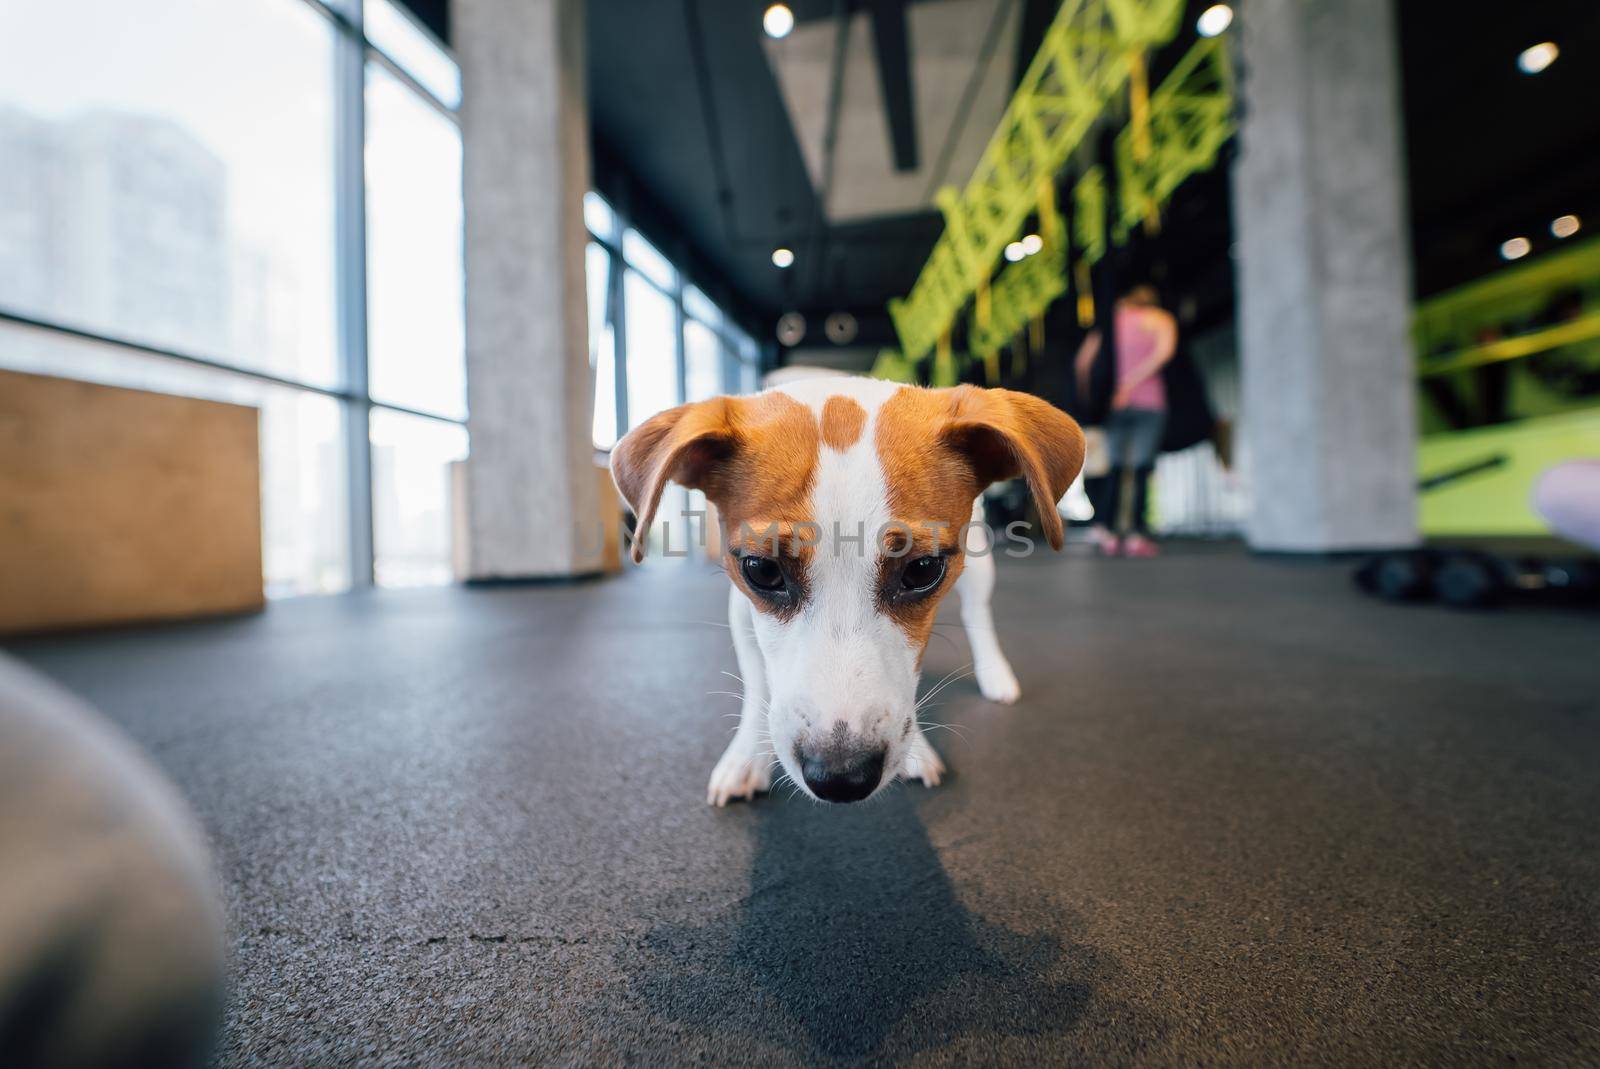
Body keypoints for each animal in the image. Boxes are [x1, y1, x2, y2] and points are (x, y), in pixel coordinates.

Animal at [611, 374, 1088, 800]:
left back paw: (995, 673)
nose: (841, 777)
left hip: (979, 561)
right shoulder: (742, 608)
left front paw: (916, 748)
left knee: (977, 612)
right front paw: (747, 753)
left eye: (923, 570)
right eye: (761, 570)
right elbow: (759, 680)